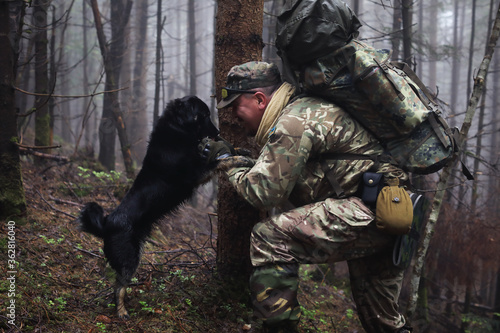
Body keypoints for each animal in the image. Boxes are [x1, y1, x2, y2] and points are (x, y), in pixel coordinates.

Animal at [77, 95, 221, 316]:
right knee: (118, 287)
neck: (177, 131)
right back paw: (122, 312)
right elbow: (222, 162)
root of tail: (106, 224)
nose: (218, 133)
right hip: (129, 258)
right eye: (204, 115)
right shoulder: (196, 174)